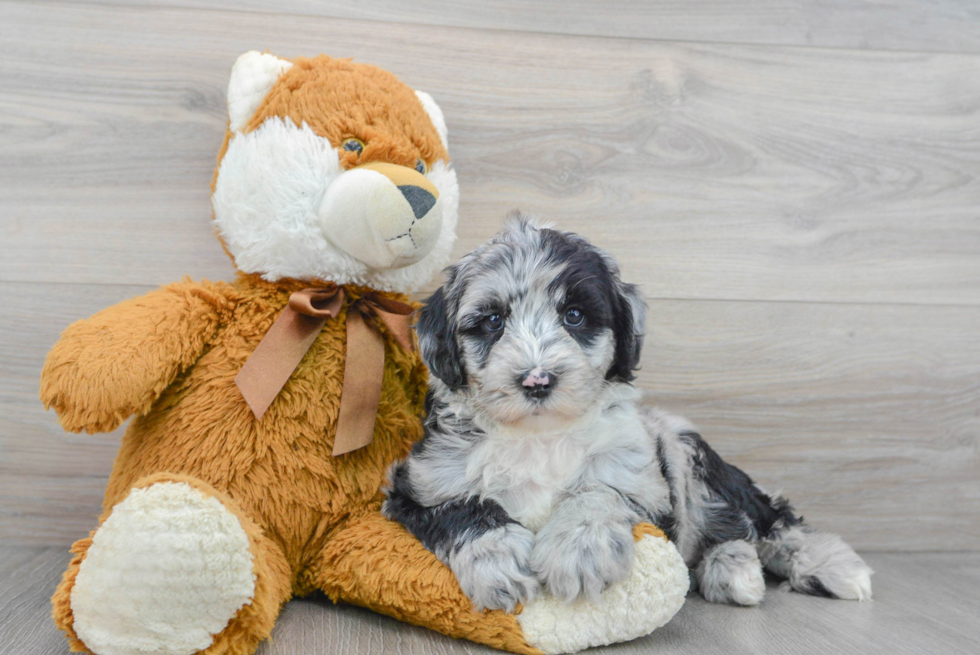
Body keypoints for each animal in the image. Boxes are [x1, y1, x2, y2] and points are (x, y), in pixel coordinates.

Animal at [382, 218, 872, 612]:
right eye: (491, 322)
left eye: (574, 315)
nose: (537, 380)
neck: (540, 435)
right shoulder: (419, 487)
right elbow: (465, 510)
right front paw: (499, 564)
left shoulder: (641, 480)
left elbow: (598, 490)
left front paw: (580, 550)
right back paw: (731, 572)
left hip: (689, 452)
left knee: (768, 522)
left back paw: (822, 568)